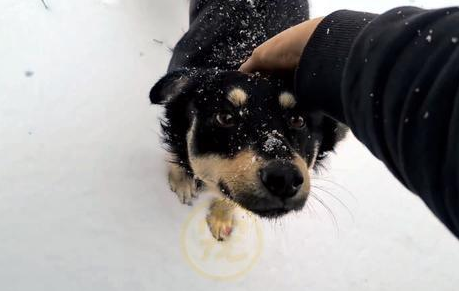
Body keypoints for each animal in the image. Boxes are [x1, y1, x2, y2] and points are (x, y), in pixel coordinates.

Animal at [149, 0, 346, 242]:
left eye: (298, 120)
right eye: (225, 117)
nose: (284, 178)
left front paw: (221, 217)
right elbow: (175, 148)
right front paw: (181, 180)